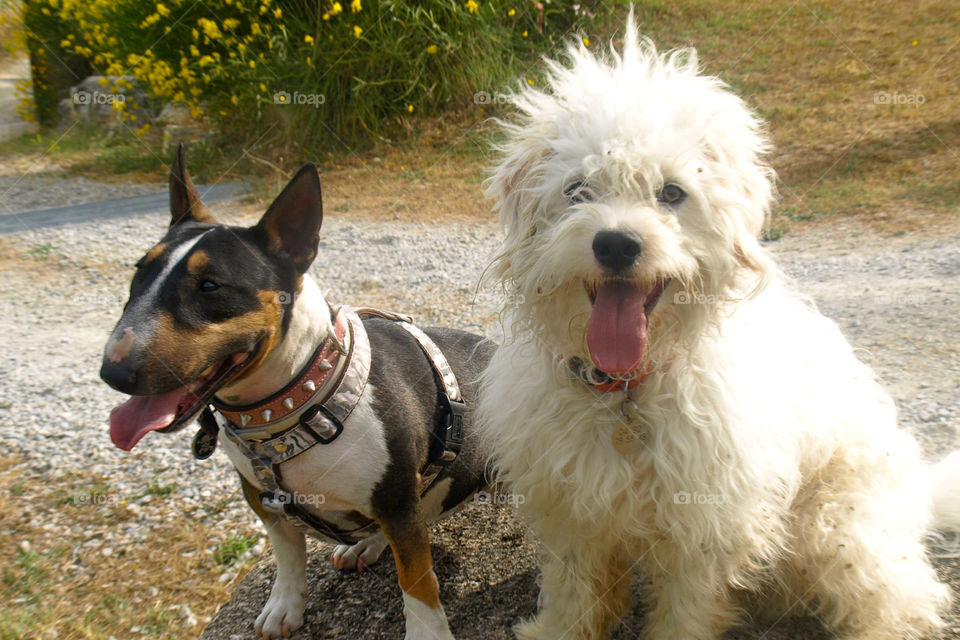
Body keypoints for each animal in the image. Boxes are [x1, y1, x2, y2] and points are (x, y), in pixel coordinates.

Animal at [480, 15, 960, 640]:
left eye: (672, 192)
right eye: (577, 189)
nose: (616, 244)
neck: (627, 391)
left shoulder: (704, 523)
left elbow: (684, 607)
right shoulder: (573, 508)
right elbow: (575, 590)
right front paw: (560, 630)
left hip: (840, 526)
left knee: (900, 599)